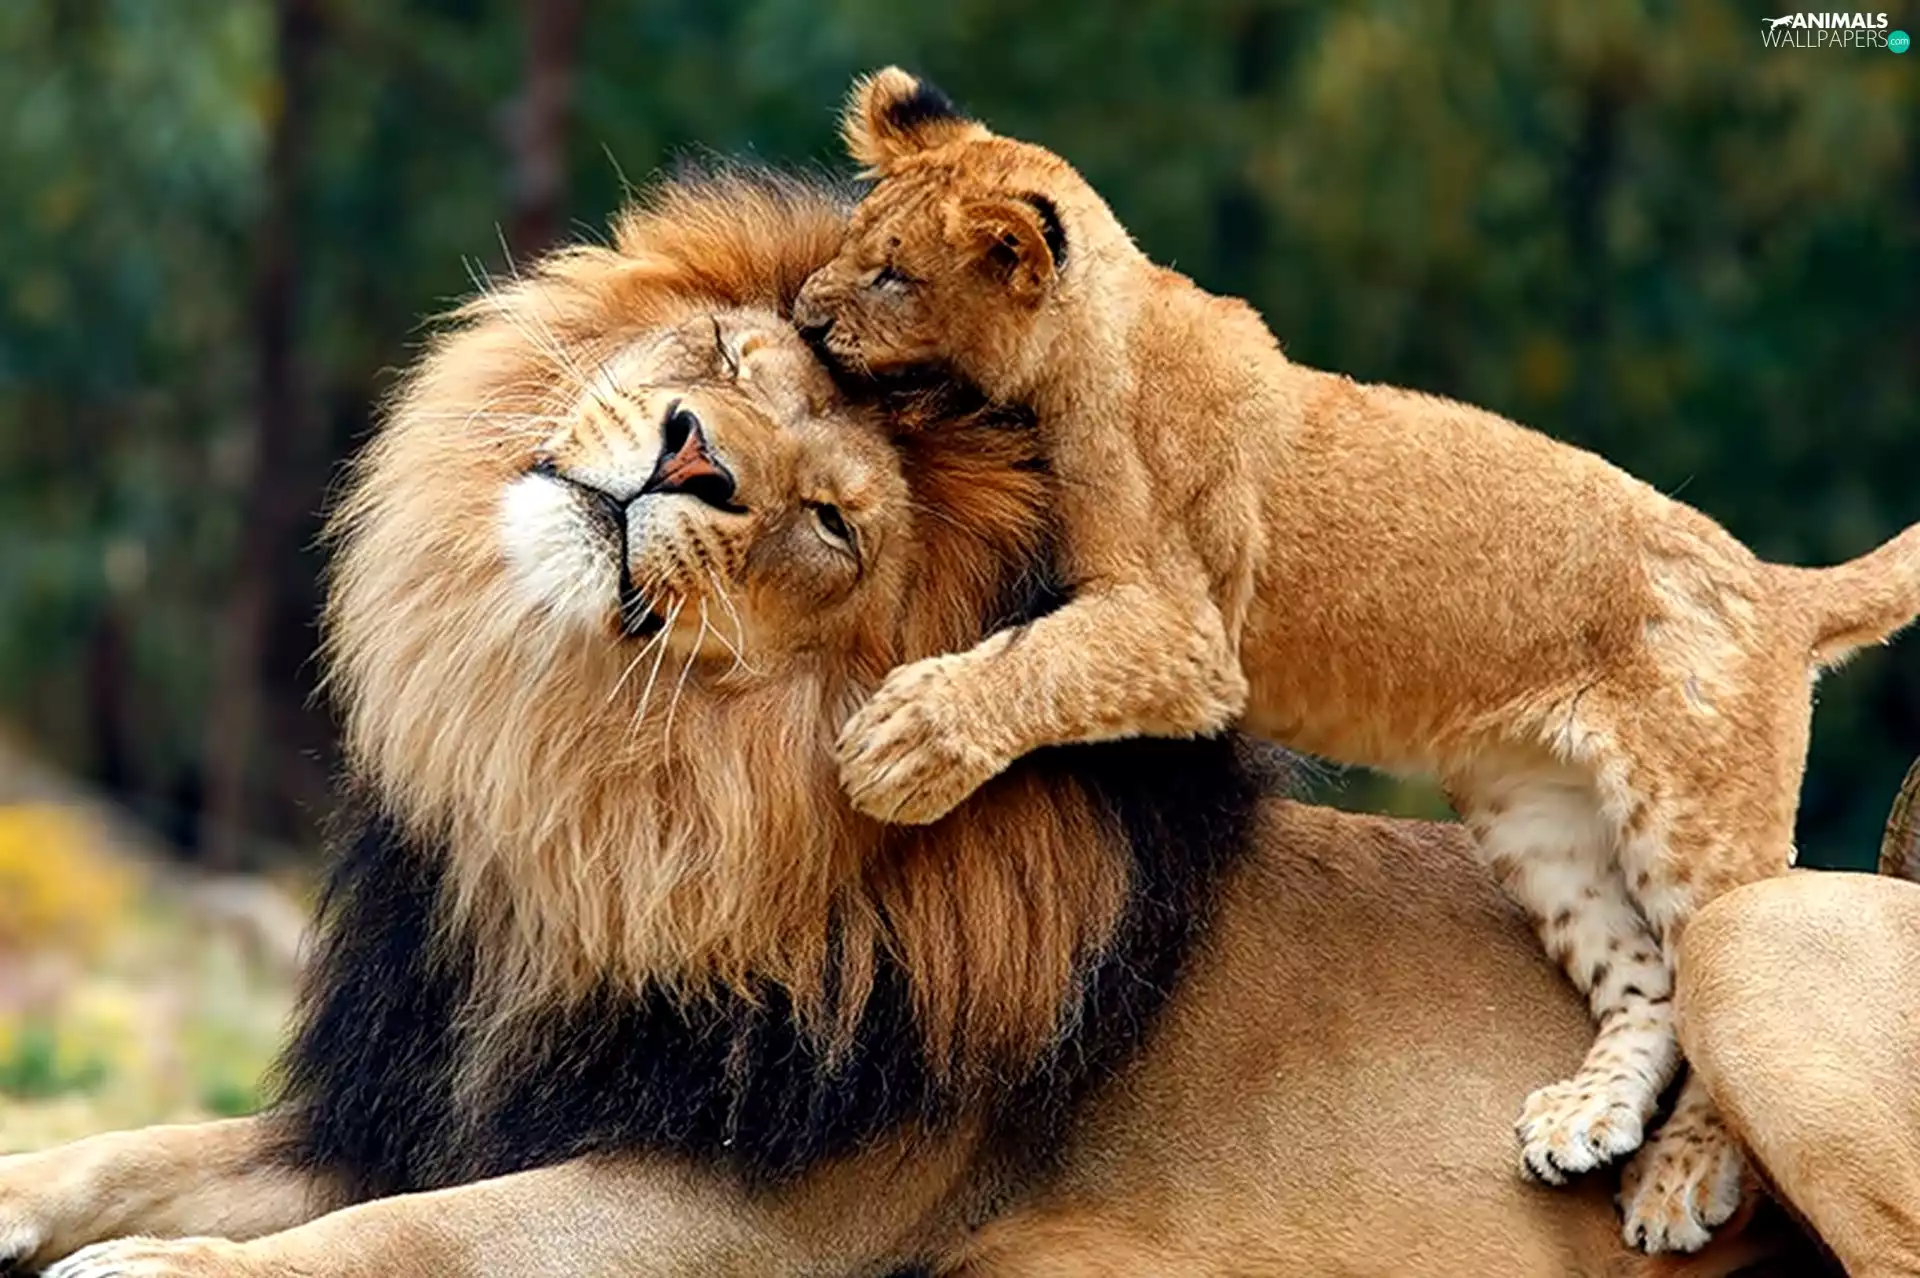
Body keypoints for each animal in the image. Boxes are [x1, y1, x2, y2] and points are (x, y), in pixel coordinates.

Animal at [0, 167, 1870, 1278]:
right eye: (747, 362)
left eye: (834, 522)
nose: (688, 453)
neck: (609, 804)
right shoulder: (427, 1100)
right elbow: (130, 1148)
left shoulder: (742, 1205)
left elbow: (409, 1240)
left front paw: (155, 1273)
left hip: (1764, 939)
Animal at [790, 67, 1920, 1250]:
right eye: (859, 243)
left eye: (894, 274)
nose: (805, 315)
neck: (1094, 344)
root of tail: (1777, 583)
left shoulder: (1186, 636)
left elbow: (1042, 659)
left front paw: (902, 748)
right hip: (1538, 822)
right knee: (1646, 982)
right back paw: (1583, 1121)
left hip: (1694, 827)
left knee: (1715, 974)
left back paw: (1679, 1179)